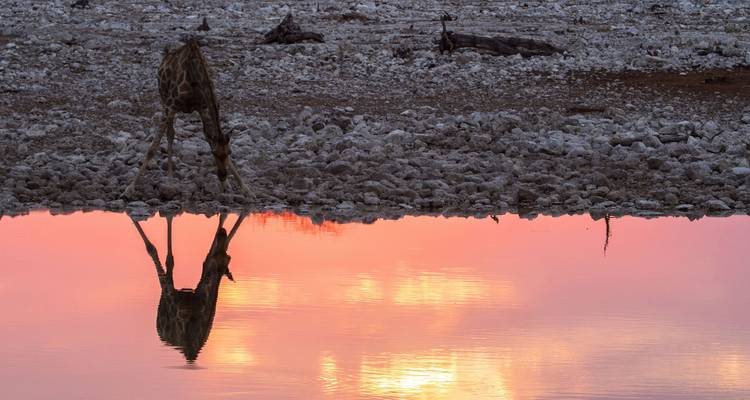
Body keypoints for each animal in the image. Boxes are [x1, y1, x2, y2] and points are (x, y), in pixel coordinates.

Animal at [123, 38, 251, 199]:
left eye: (229, 153)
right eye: (214, 153)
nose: (222, 175)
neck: (194, 74)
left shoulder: (202, 108)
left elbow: (210, 137)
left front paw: (240, 187)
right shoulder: (171, 106)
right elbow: (152, 147)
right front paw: (130, 188)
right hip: (164, 100)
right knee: (170, 134)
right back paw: (170, 178)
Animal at [131, 213, 245, 362]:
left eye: (228, 258)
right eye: (221, 259)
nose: (222, 234)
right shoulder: (171, 297)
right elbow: (168, 259)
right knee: (156, 252)